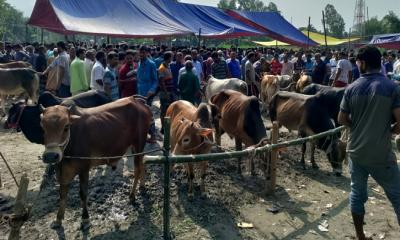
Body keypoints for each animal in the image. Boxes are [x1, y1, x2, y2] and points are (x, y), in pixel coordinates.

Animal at [39, 96, 152, 228]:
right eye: (43, 128)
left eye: (66, 127)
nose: (51, 156)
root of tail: (138, 101)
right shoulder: (62, 172)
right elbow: (62, 194)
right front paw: (58, 219)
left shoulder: (84, 169)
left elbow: (83, 193)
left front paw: (85, 218)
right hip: (135, 148)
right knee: (142, 163)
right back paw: (142, 186)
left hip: (139, 143)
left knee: (137, 168)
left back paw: (132, 195)